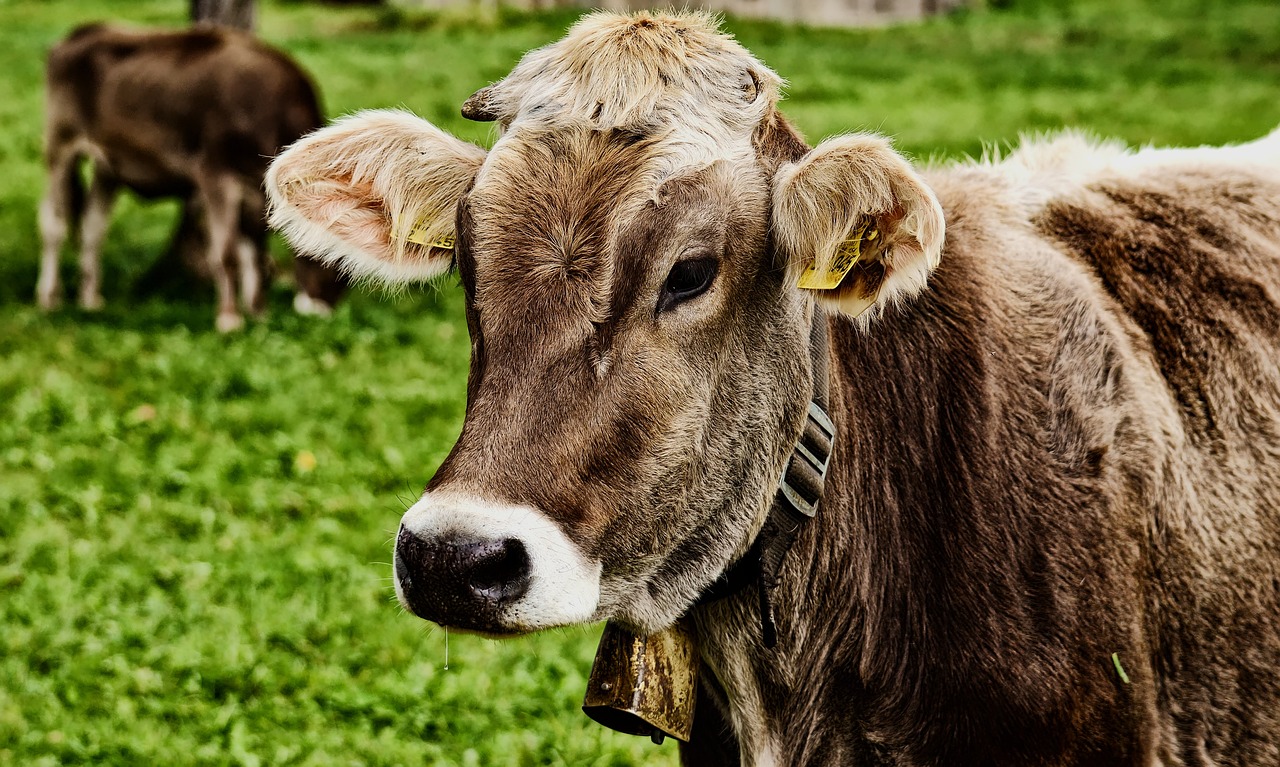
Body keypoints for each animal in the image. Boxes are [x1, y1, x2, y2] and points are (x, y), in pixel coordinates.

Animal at [37, 23, 348, 330]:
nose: (323, 310)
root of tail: (83, 31)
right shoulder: (215, 175)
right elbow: (226, 253)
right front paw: (229, 319)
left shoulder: (255, 191)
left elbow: (255, 254)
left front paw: (258, 314)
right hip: (61, 144)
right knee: (54, 222)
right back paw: (49, 297)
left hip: (108, 165)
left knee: (93, 226)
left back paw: (90, 299)